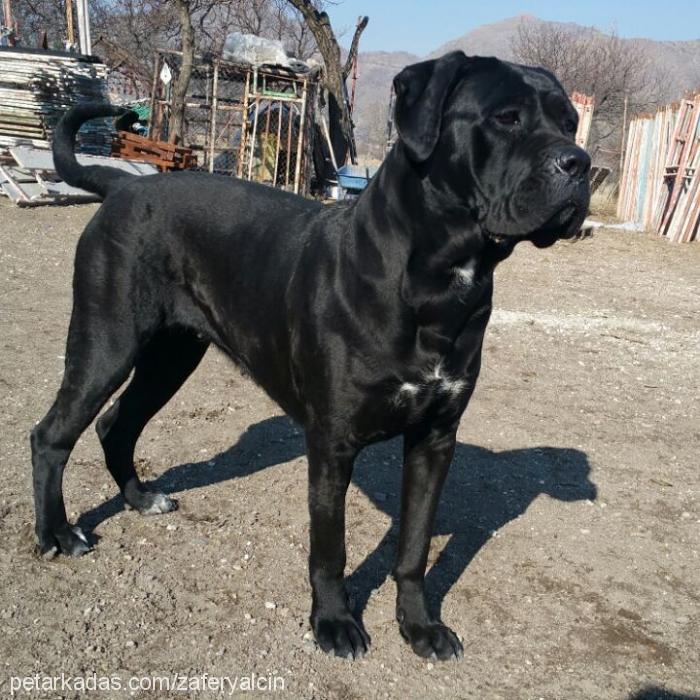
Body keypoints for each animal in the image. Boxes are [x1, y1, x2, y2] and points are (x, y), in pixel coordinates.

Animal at [31, 54, 592, 660]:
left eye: (570, 123)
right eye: (506, 117)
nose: (581, 163)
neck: (440, 280)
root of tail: (122, 186)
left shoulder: (436, 438)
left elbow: (414, 547)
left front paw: (420, 625)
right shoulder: (332, 442)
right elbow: (330, 548)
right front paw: (334, 622)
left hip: (172, 355)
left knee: (117, 422)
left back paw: (140, 499)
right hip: (106, 343)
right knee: (52, 434)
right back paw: (56, 533)